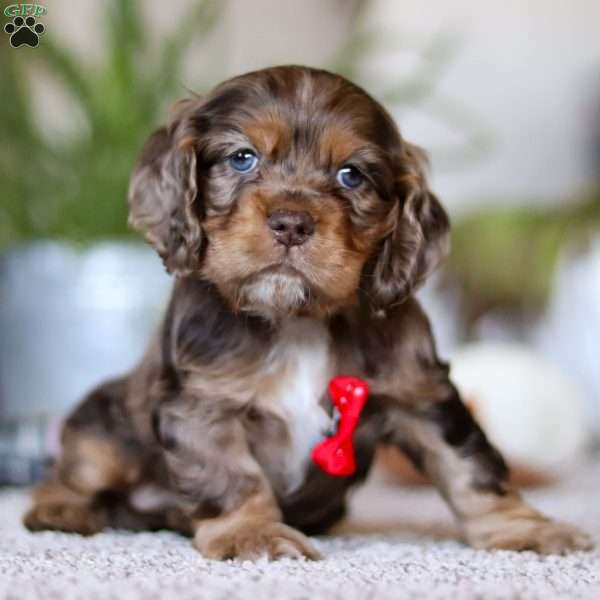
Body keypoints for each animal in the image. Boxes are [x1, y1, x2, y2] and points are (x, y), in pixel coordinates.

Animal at [23, 68, 592, 560]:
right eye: (243, 158)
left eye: (351, 174)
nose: (292, 223)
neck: (296, 317)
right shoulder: (202, 403)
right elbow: (231, 475)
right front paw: (253, 534)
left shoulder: (421, 394)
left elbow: (469, 468)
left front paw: (526, 529)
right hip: (103, 428)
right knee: (72, 470)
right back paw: (60, 510)